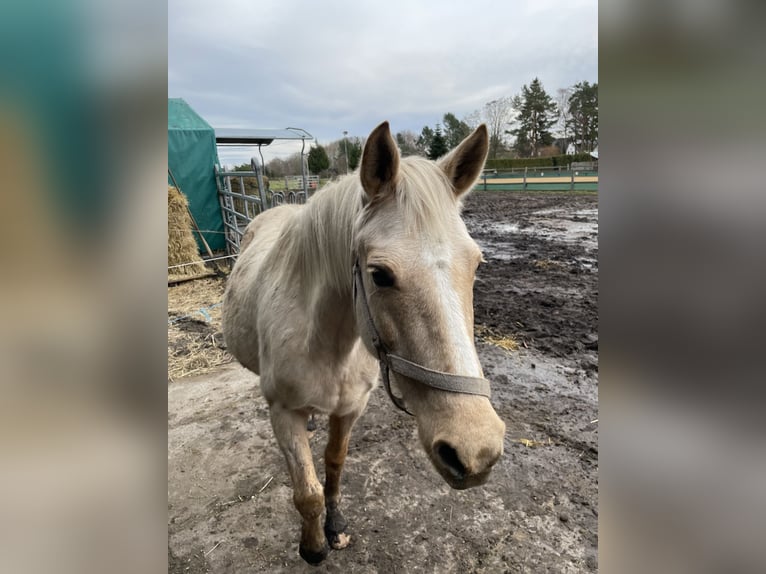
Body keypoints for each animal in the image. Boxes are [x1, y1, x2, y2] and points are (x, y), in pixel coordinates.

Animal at [225, 121, 508, 568]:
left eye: (477, 264)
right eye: (379, 274)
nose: (475, 449)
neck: (330, 344)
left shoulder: (350, 409)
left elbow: (334, 464)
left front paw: (336, 526)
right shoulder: (282, 414)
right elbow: (307, 492)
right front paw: (313, 548)